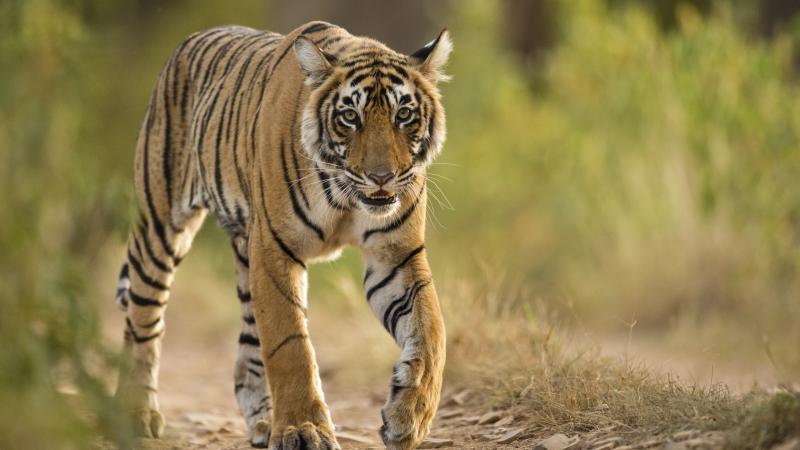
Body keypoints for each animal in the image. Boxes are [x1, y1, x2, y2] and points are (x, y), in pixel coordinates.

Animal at [113, 21, 451, 450]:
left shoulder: (395, 256)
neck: (346, 194)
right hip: (160, 226)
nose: (381, 177)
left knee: (246, 348)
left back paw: (262, 422)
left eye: (404, 115)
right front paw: (303, 430)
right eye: (350, 117)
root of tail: (190, 40)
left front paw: (410, 417)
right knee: (142, 321)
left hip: (245, 253)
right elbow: (290, 344)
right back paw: (137, 414)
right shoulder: (275, 248)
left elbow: (431, 329)